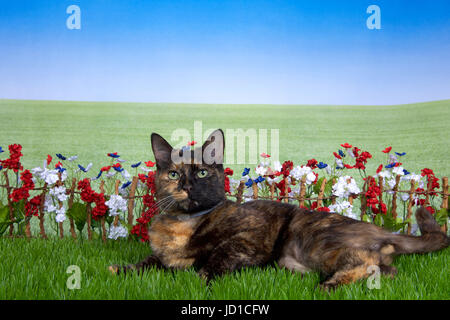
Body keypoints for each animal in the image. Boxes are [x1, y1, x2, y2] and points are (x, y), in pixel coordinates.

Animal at [110, 129, 450, 288]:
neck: (182, 224)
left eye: (202, 173)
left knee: (368, 263)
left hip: (314, 241)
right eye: (173, 174)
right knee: (388, 270)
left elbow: (218, 255)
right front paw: (120, 269)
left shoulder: (250, 236)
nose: (187, 185)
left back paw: (328, 286)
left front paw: (195, 279)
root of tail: (383, 231)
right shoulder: (162, 256)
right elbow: (147, 263)